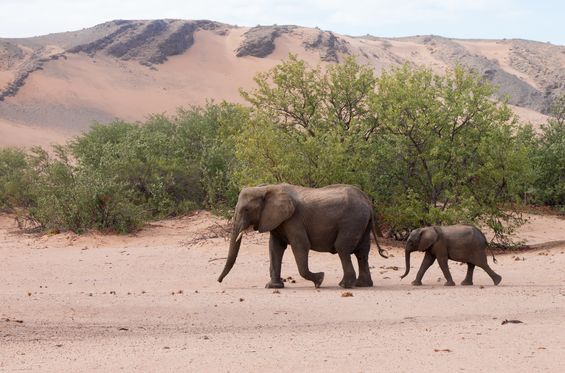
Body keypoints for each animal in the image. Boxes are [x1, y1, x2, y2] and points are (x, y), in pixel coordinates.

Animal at [217, 183, 388, 288]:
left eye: (246, 210)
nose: (219, 281)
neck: (268, 188)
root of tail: (368, 202)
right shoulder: (278, 221)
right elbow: (275, 248)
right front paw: (272, 287)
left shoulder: (294, 220)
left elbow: (301, 246)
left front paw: (320, 280)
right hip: (362, 223)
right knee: (362, 252)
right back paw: (362, 285)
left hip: (352, 221)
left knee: (342, 248)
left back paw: (344, 285)